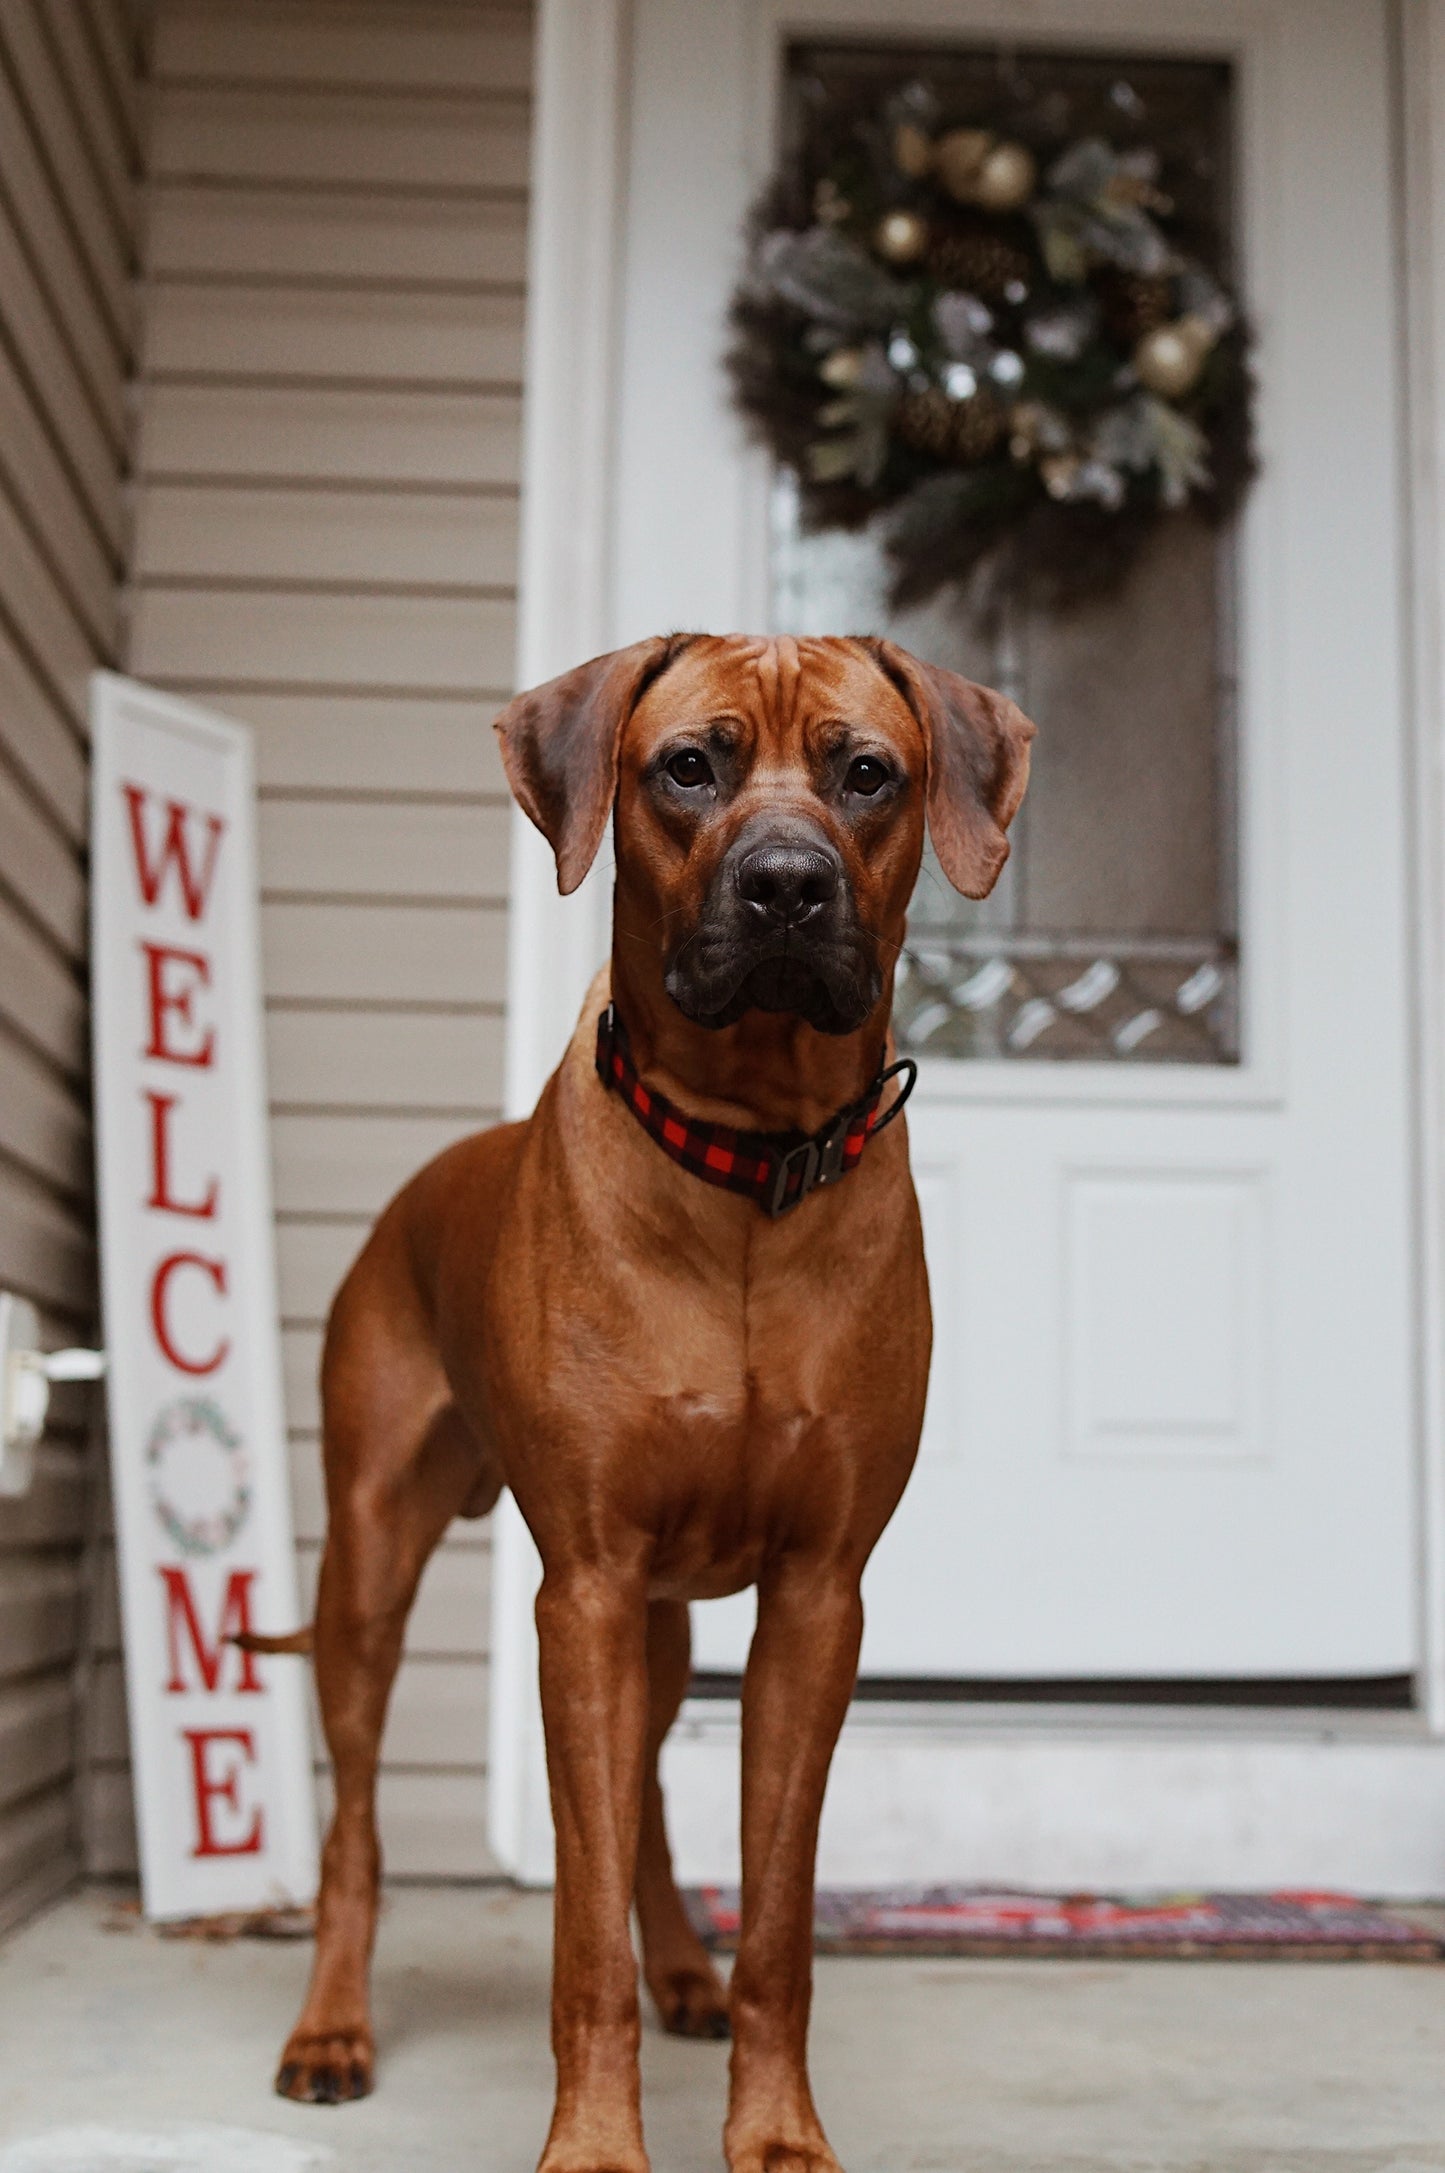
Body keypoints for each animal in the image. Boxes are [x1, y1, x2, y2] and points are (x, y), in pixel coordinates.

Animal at [270, 634, 1029, 2173]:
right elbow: (579, 1935)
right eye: (689, 766)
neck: (743, 1160)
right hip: (373, 1568)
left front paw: (777, 2130)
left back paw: (682, 1963)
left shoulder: (815, 1597)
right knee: (359, 1826)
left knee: (650, 1811)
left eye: (869, 773)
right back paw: (330, 2027)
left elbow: (776, 1916)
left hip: (668, 1620)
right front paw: (594, 2145)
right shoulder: (586, 1594)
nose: (788, 884)